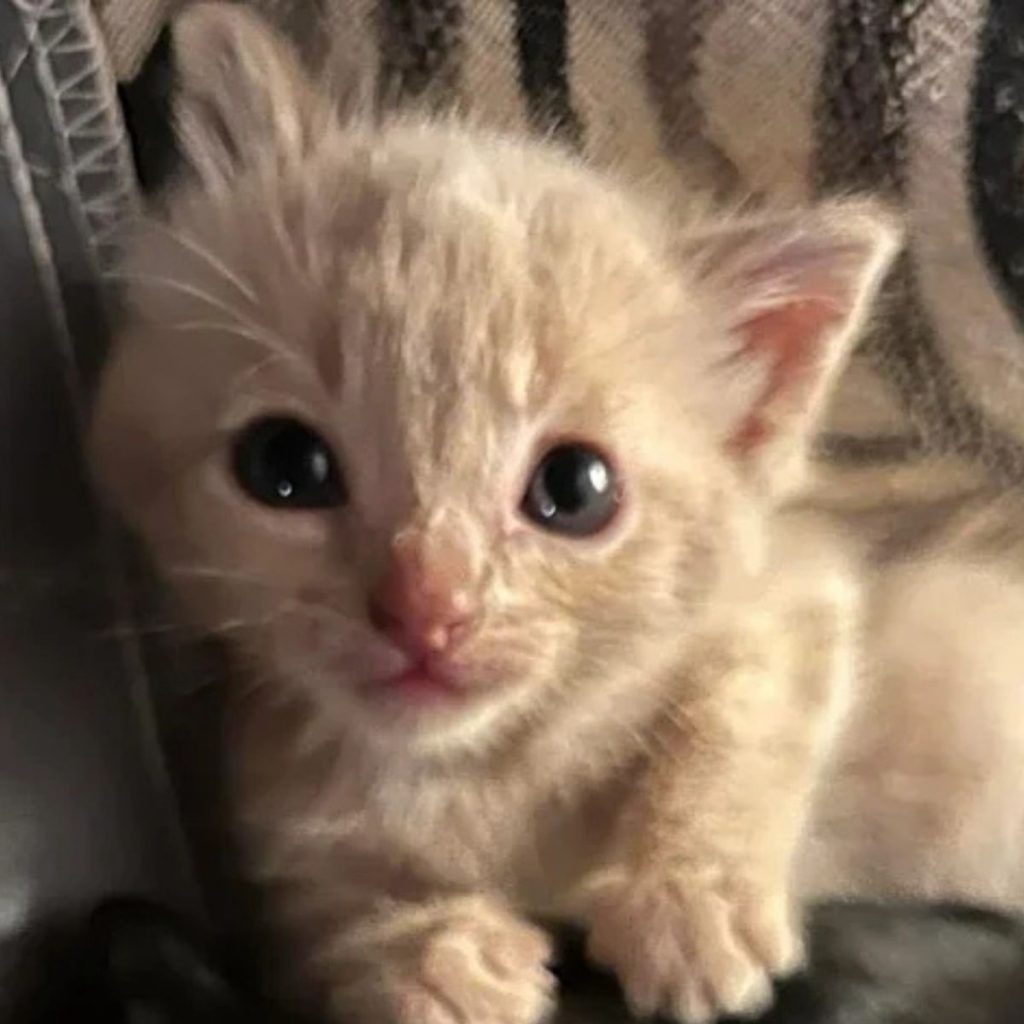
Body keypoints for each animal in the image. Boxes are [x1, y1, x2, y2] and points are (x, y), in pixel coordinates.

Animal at [90, 8, 1024, 1024]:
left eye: (575, 490)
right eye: (285, 466)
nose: (427, 609)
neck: (476, 779)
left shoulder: (798, 577)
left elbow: (746, 699)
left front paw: (688, 898)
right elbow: (311, 905)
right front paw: (425, 951)